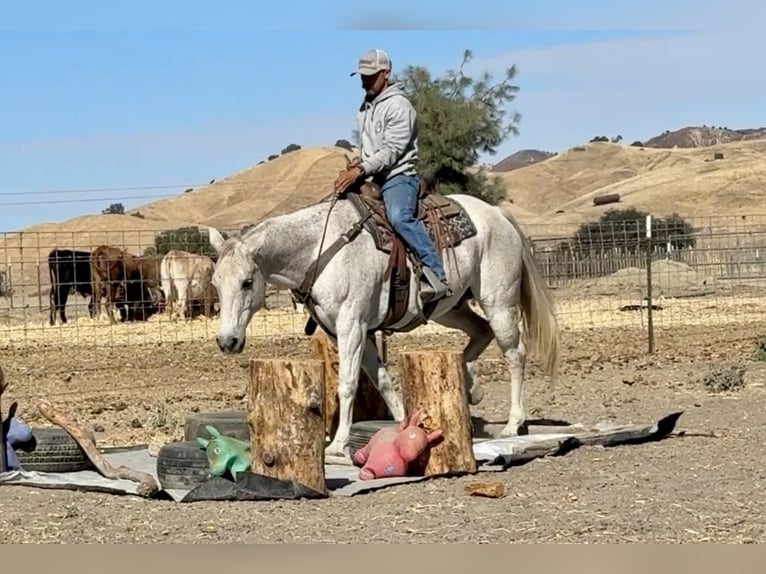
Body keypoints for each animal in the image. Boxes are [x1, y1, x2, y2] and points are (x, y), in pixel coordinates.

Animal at [206, 191, 561, 459]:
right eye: (215, 283)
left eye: (247, 282)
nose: (227, 341)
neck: (320, 251)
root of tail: (498, 215)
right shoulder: (351, 333)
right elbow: (383, 382)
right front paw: (407, 426)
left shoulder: (352, 326)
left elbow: (347, 384)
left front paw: (337, 444)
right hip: (449, 308)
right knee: (480, 331)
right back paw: (471, 387)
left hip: (499, 302)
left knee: (514, 353)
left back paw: (513, 423)